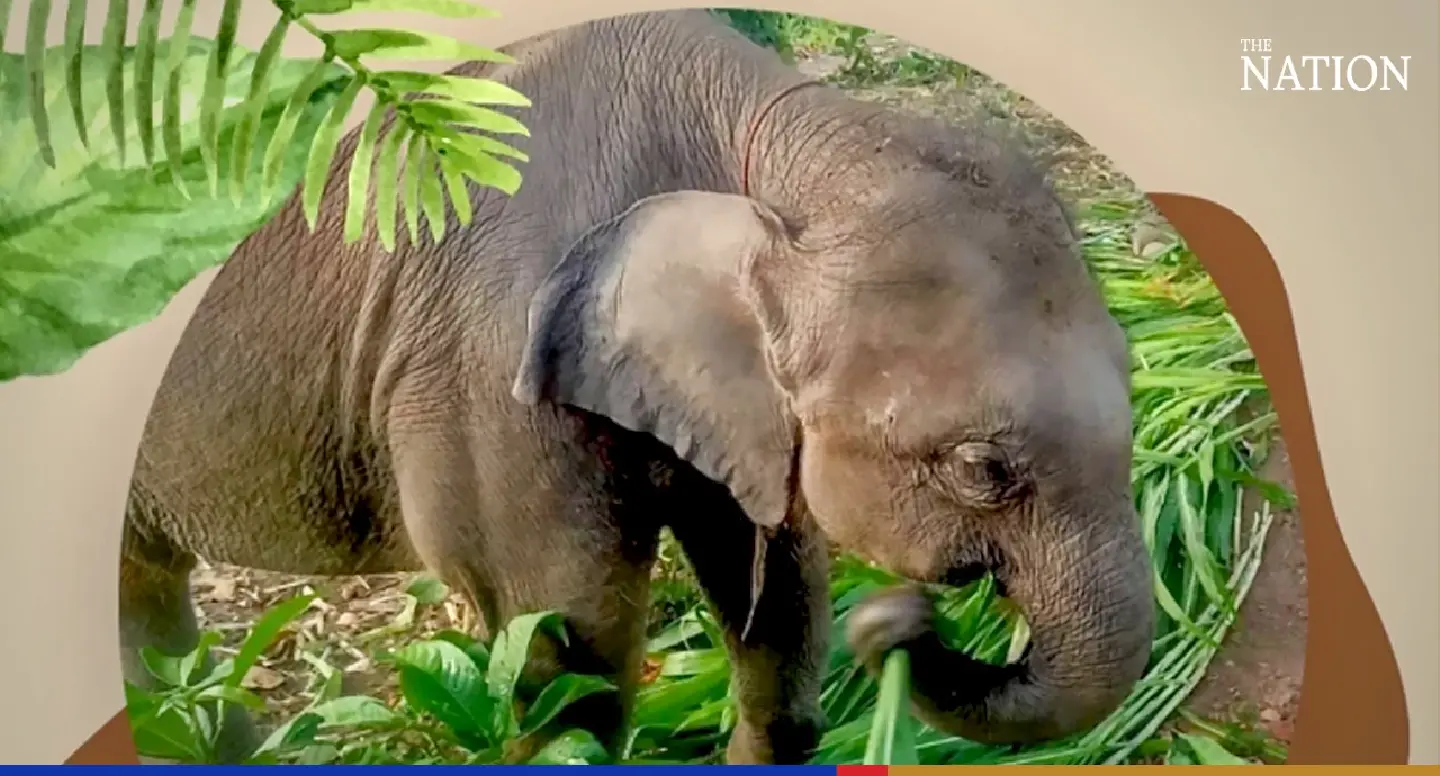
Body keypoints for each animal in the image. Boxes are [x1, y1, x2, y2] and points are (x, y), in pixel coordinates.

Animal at [119, 8, 1155, 766]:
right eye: (981, 467)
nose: (901, 616)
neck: (770, 127)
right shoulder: (484, 366)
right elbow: (563, 653)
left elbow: (779, 599)